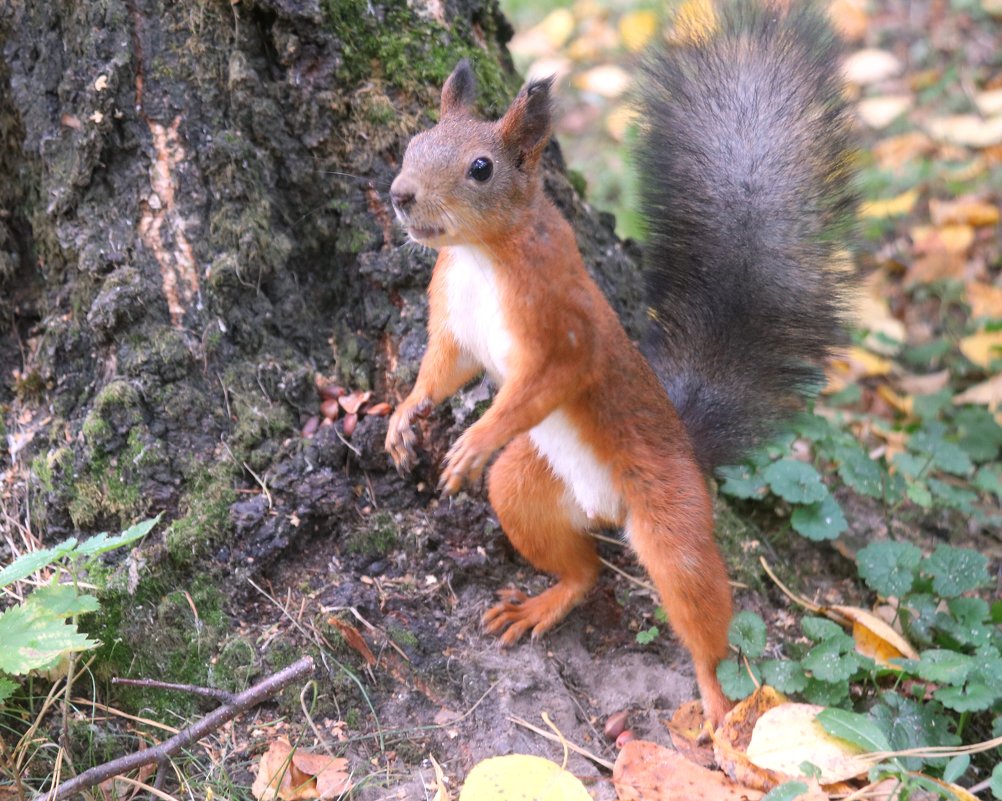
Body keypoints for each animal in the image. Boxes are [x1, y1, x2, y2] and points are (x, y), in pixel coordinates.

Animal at [382, 0, 853, 725]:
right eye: (412, 144)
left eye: (481, 168)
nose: (401, 195)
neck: (480, 254)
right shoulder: (453, 318)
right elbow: (443, 368)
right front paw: (405, 417)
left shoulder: (561, 327)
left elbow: (545, 380)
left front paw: (473, 441)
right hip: (525, 485)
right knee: (584, 571)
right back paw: (544, 601)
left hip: (671, 518)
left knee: (699, 609)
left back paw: (716, 704)